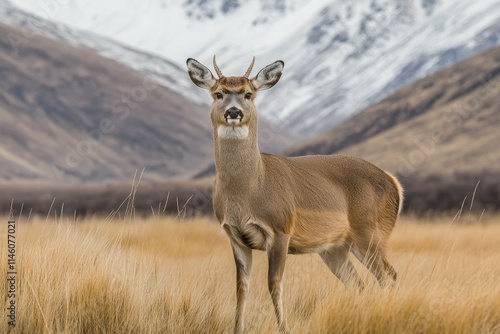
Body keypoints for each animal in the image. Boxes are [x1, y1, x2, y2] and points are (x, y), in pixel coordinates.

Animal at [186, 56, 404, 332]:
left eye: (248, 93)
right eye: (218, 93)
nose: (233, 112)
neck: (250, 188)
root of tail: (393, 182)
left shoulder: (281, 229)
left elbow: (274, 283)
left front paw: (284, 328)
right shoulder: (235, 236)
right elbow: (241, 287)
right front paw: (237, 328)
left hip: (371, 231)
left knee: (388, 276)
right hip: (335, 248)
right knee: (360, 283)